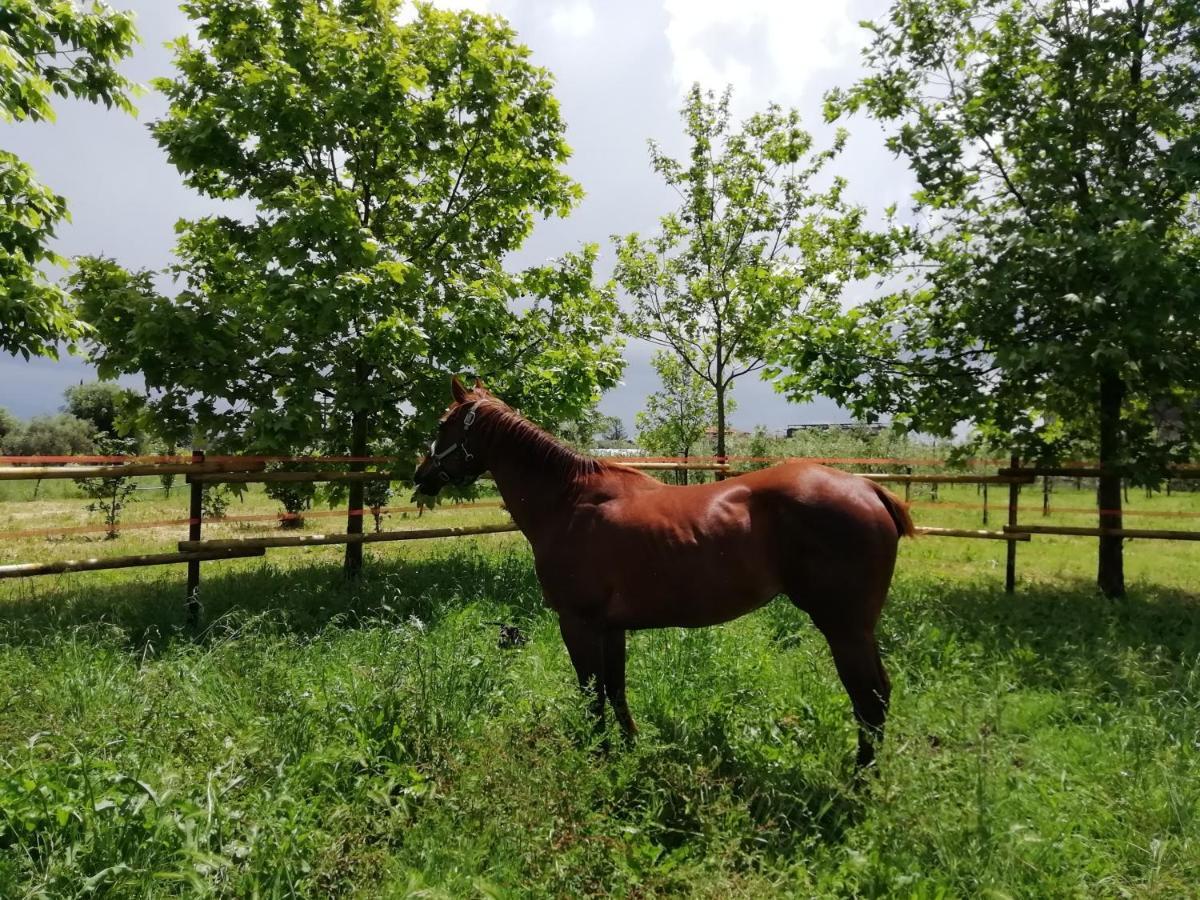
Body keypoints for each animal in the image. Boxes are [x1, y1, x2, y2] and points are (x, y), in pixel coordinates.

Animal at [417, 376, 912, 772]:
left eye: (442, 424)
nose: (421, 474)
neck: (569, 501)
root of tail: (868, 488)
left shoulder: (578, 623)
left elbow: (592, 694)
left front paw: (598, 758)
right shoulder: (610, 628)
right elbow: (616, 689)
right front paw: (630, 748)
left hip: (844, 627)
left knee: (868, 700)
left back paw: (859, 781)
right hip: (856, 629)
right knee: (879, 696)